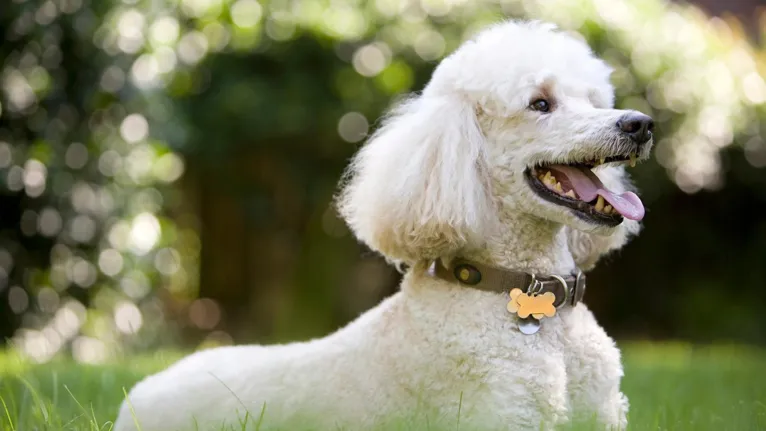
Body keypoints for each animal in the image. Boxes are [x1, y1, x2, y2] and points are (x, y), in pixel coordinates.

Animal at [114, 21, 656, 431]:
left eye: (594, 99)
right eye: (540, 103)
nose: (641, 124)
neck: (522, 294)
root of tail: (134, 394)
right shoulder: (500, 415)